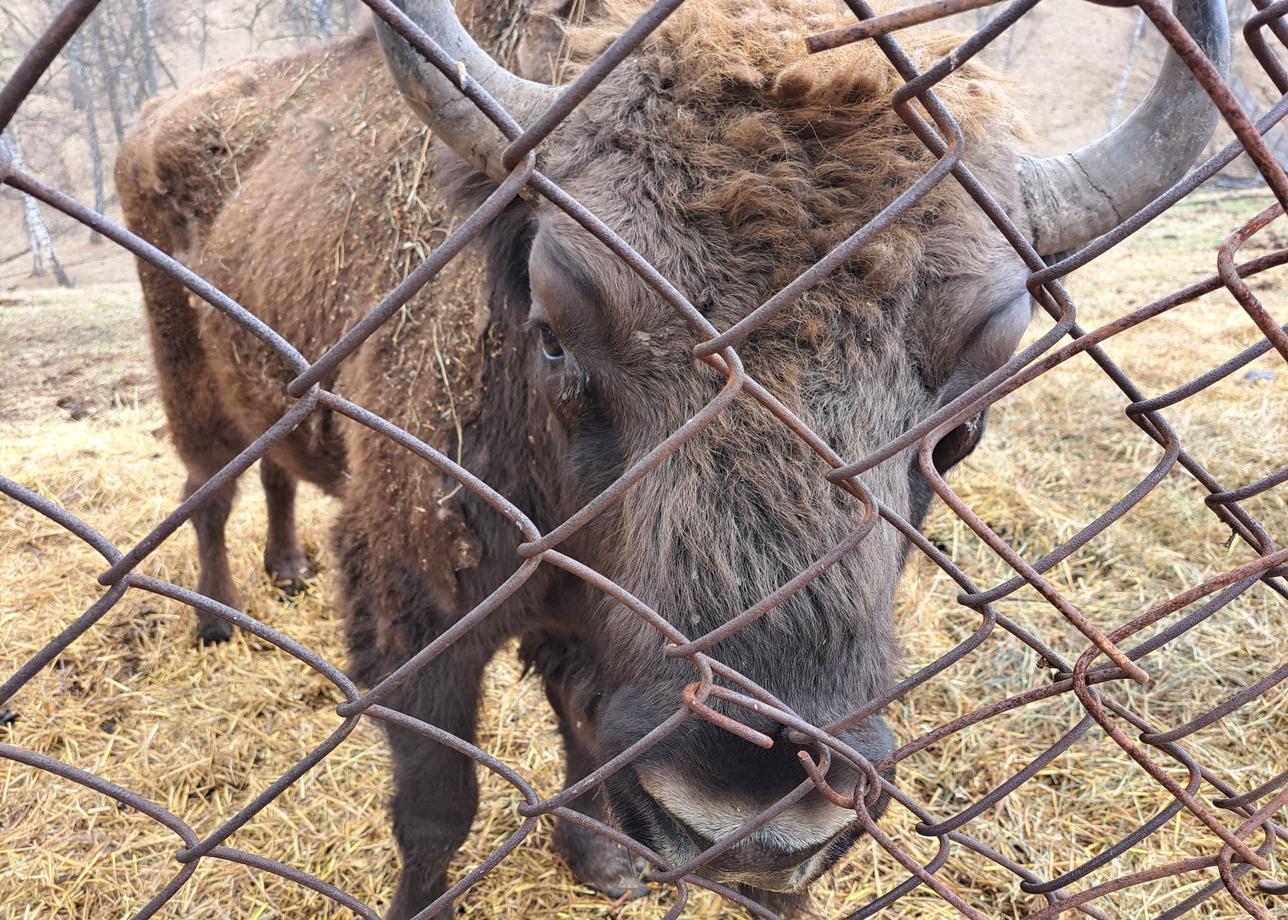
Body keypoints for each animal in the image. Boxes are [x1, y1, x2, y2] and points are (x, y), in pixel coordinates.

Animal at [113, 3, 1226, 912]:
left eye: (969, 410)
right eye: (554, 332)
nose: (757, 819)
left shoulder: (583, 627)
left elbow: (578, 721)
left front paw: (604, 861)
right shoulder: (416, 609)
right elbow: (439, 802)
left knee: (268, 475)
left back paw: (284, 570)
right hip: (185, 373)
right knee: (208, 488)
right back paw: (217, 621)